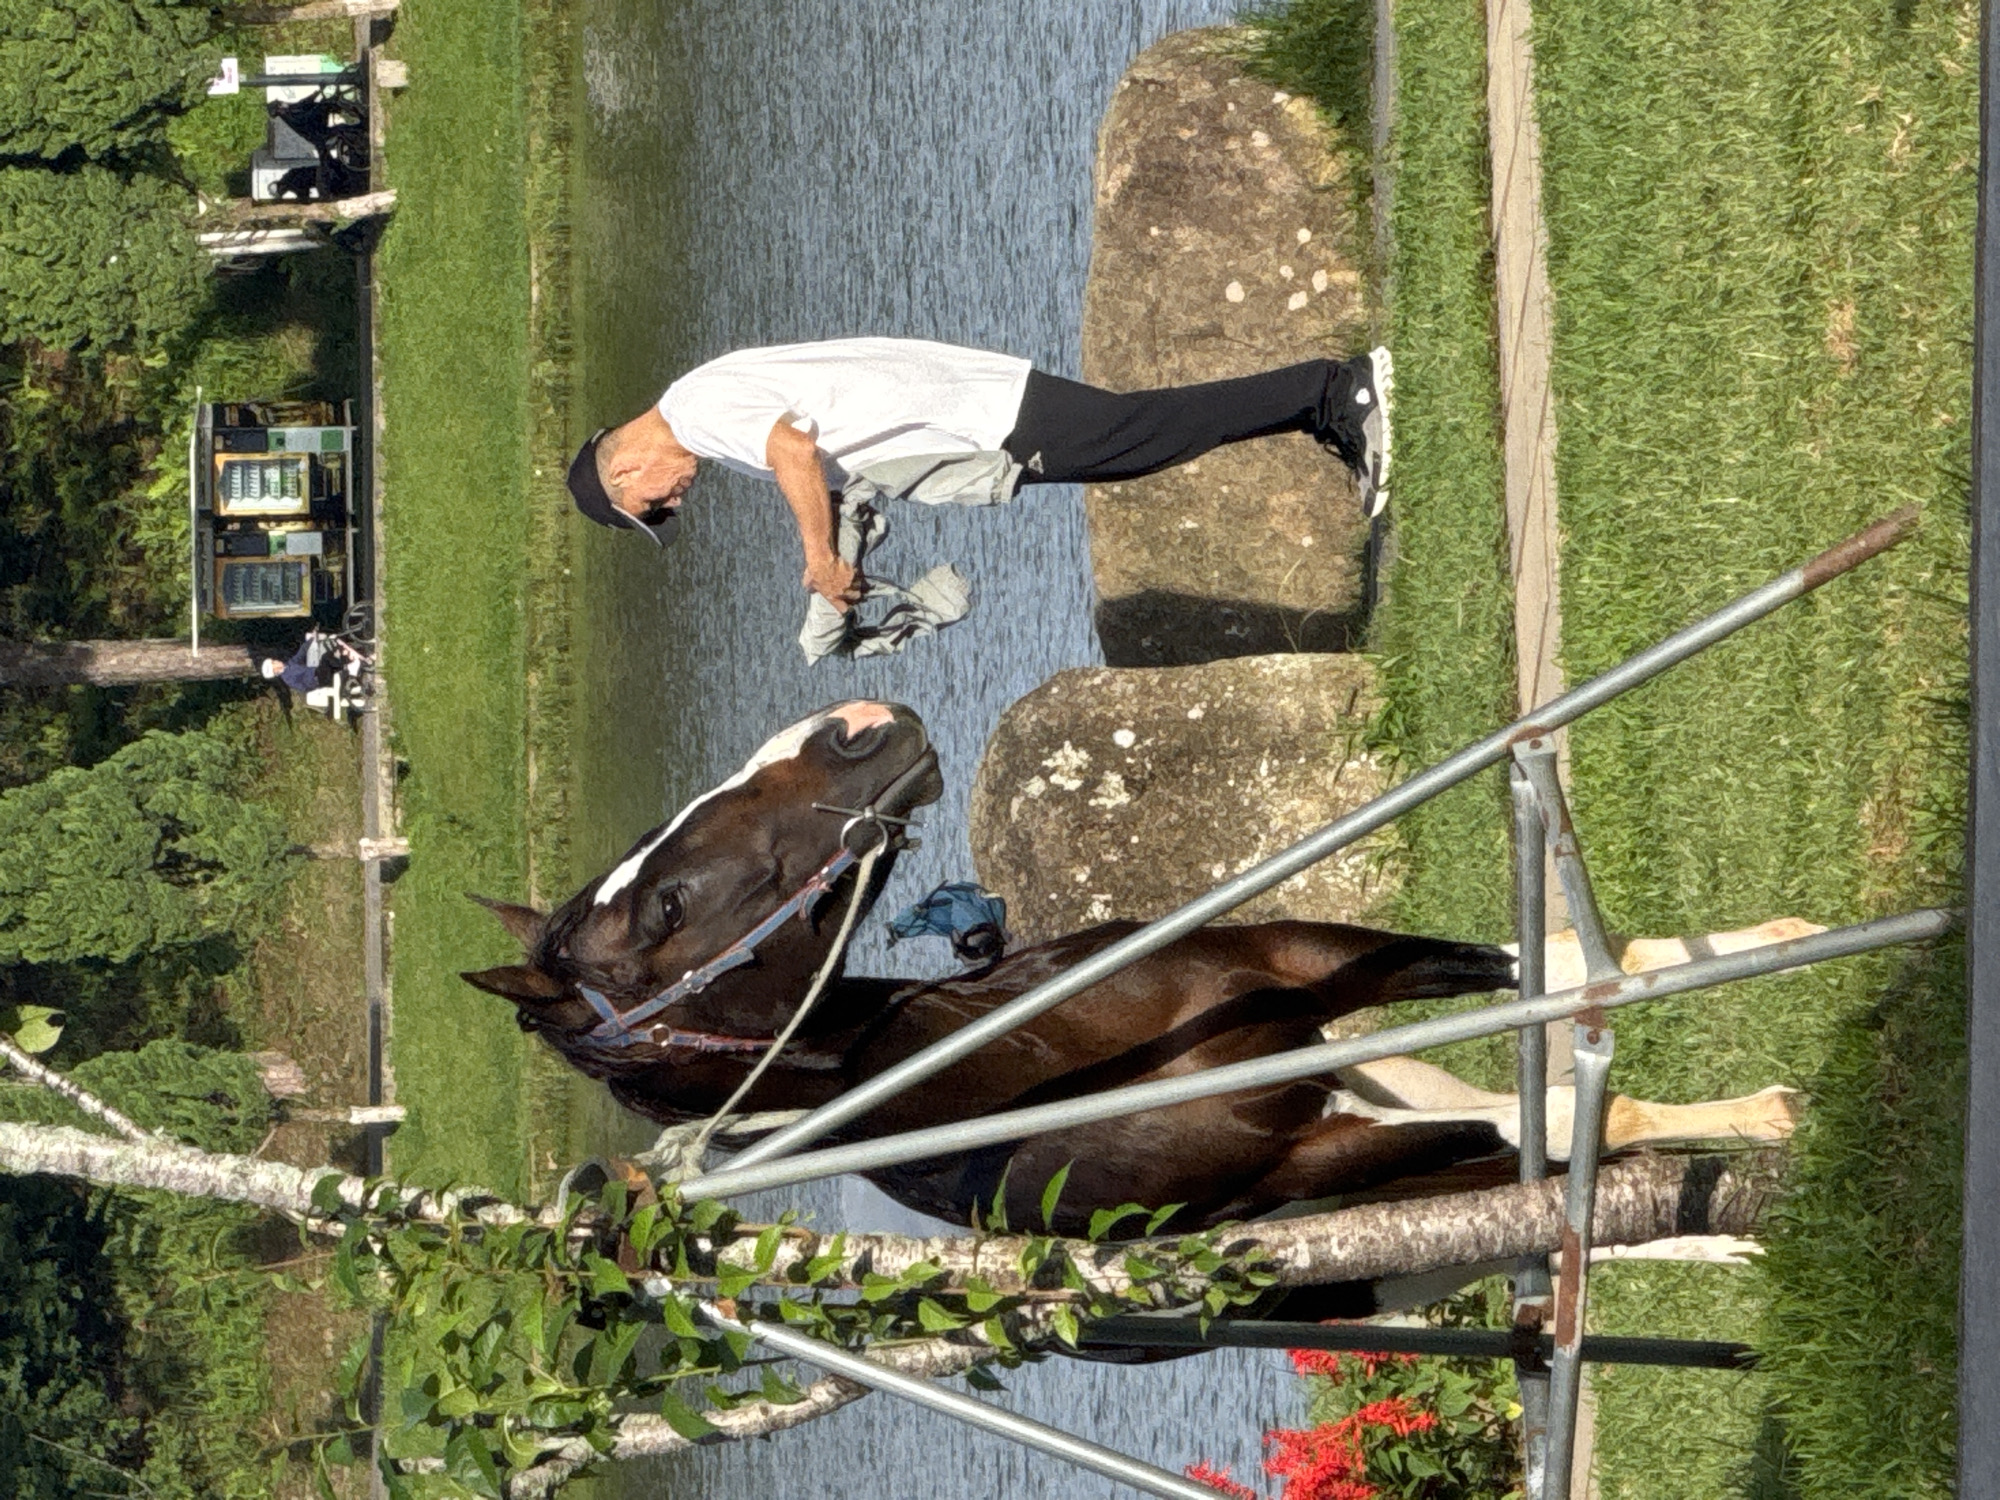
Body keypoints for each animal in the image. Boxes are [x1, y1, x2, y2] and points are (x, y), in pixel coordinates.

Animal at [463, 700, 1799, 1238]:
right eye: (671, 905)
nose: (854, 728)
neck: (1043, 1056)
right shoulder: (1319, 1152)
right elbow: (1576, 1115)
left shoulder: (1301, 959)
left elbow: (1538, 959)